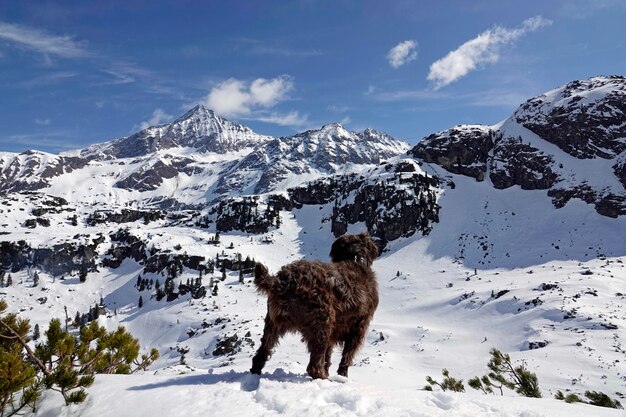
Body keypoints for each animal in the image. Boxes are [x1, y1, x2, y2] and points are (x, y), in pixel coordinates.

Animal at [247, 232, 376, 378]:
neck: (355, 259)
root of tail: (284, 281)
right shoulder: (359, 327)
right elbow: (347, 355)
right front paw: (342, 375)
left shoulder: (335, 332)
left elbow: (328, 356)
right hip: (322, 323)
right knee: (314, 365)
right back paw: (323, 378)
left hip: (272, 324)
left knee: (261, 354)